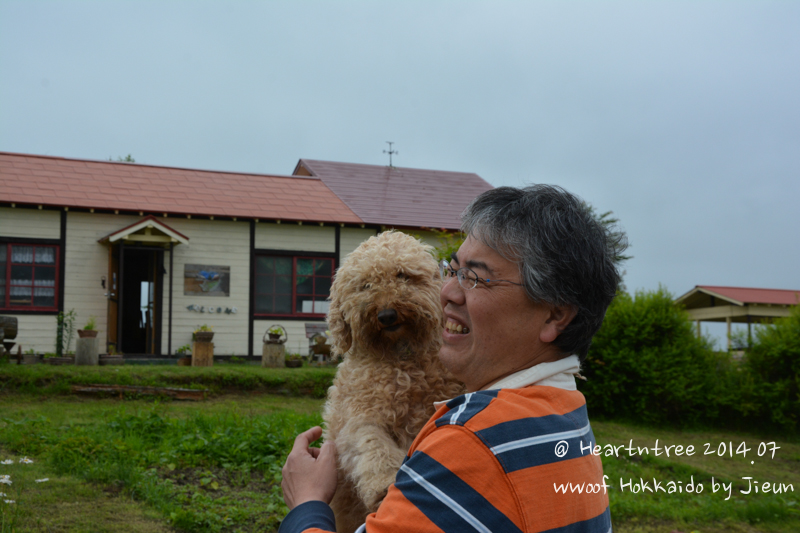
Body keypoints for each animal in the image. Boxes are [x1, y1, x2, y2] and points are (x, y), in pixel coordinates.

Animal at [324, 231, 462, 532]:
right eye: (365, 286)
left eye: (403, 275)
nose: (386, 315)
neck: (401, 360)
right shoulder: (360, 418)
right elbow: (373, 445)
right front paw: (383, 484)